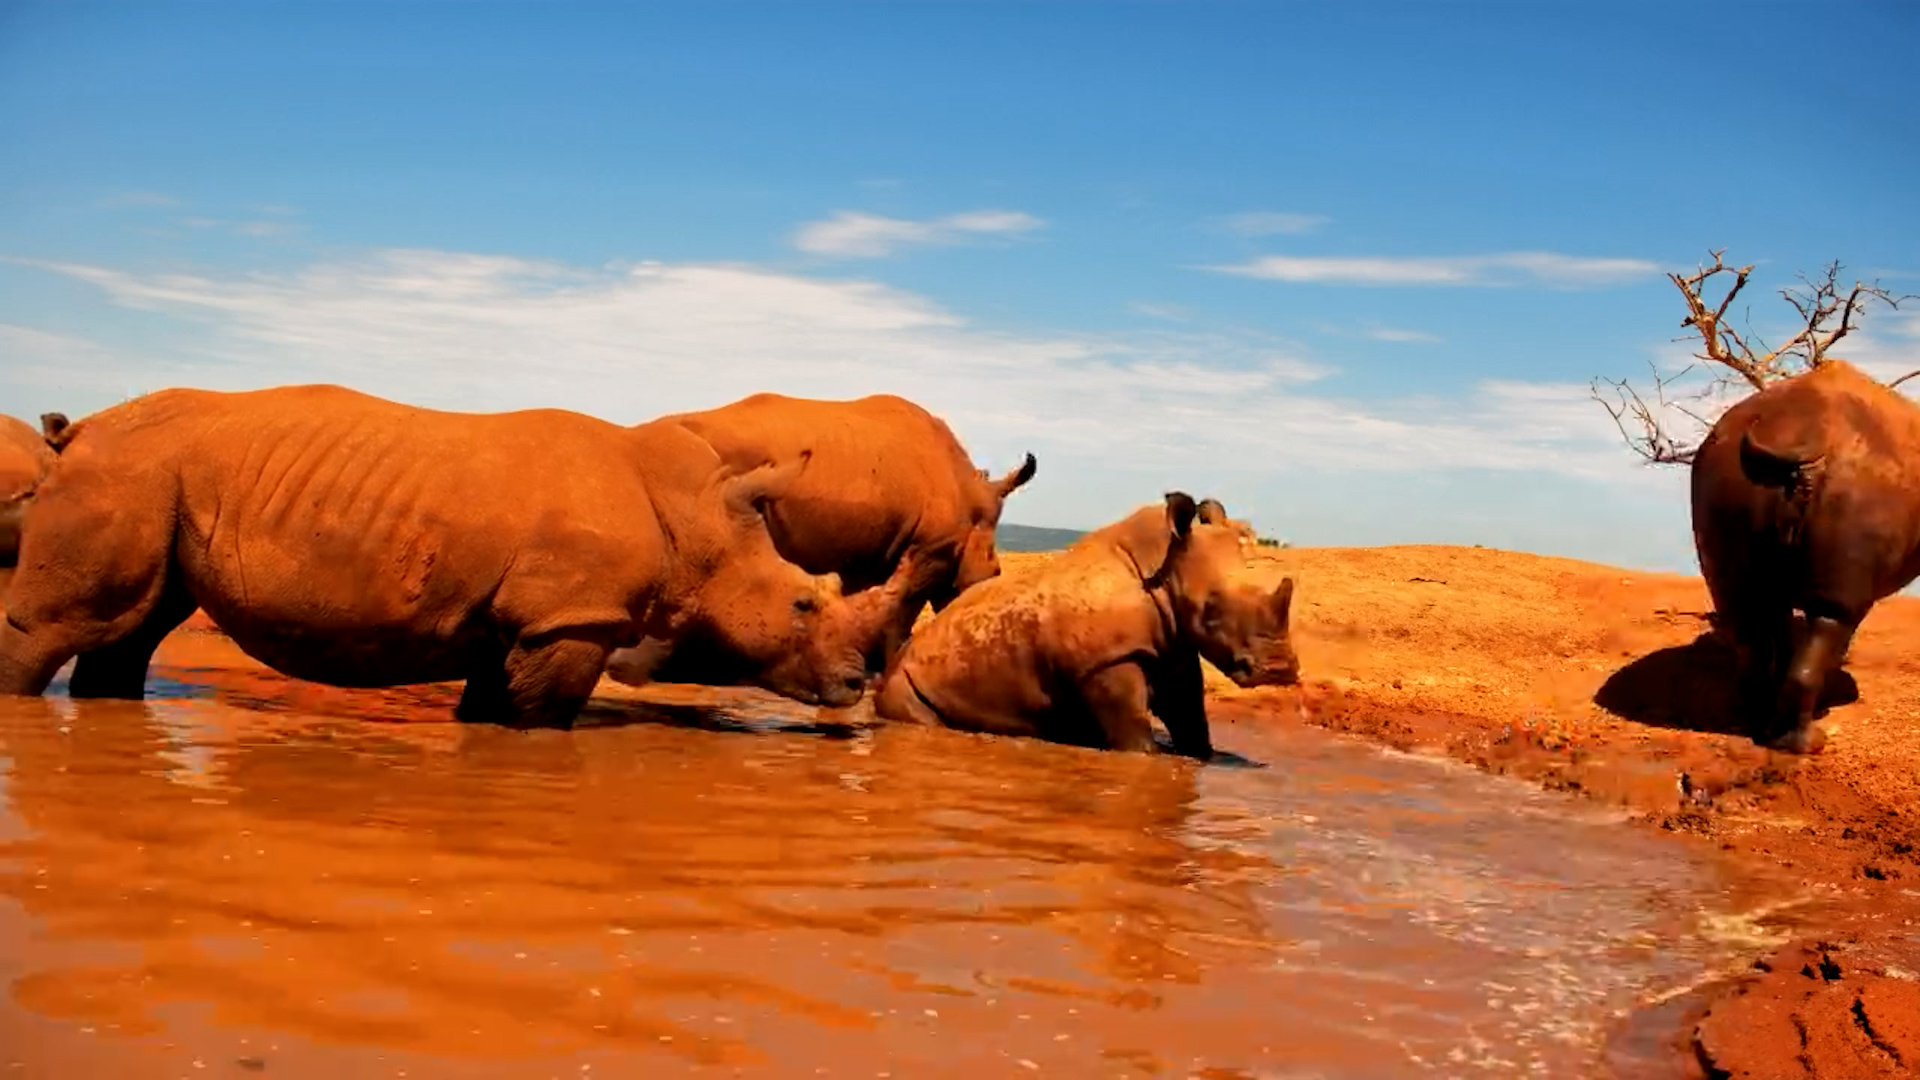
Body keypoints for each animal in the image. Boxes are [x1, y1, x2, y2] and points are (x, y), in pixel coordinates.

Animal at [0, 385, 917, 726]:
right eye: (802, 604)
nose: (854, 685)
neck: (701, 526)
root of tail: (75, 432)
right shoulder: (571, 620)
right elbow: (540, 722)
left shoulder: (526, 622)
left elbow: (490, 708)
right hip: (123, 474)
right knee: (58, 630)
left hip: (157, 483)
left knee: (133, 626)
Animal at [603, 391, 1036, 688]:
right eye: (994, 572)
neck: (975, 501)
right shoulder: (930, 548)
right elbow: (904, 607)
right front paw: (886, 668)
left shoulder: (873, 550)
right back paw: (636, 671)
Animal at [872, 492, 1300, 757]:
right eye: (1209, 609)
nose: (1279, 670)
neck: (1162, 568)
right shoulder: (1105, 661)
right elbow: (1134, 730)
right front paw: (1151, 755)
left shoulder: (1176, 649)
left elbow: (1191, 719)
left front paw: (1206, 756)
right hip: (903, 681)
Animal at [1692, 358, 1920, 754]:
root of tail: (1803, 439)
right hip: (1857, 494)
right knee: (1832, 616)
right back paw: (1806, 742)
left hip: (1721, 474)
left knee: (1747, 607)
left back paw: (1759, 724)